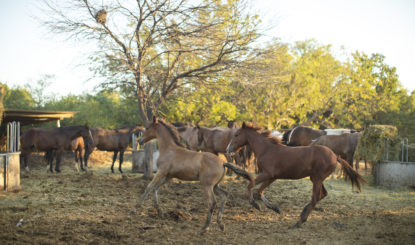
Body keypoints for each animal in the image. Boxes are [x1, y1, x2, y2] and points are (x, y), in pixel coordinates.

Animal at [228, 122, 368, 228]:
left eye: (236, 134)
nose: (228, 149)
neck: (266, 149)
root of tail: (334, 156)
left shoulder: (266, 174)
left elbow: (250, 185)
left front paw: (255, 205)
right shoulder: (272, 177)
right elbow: (259, 191)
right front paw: (275, 208)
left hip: (317, 179)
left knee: (316, 197)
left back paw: (299, 222)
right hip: (315, 178)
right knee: (322, 195)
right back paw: (303, 213)